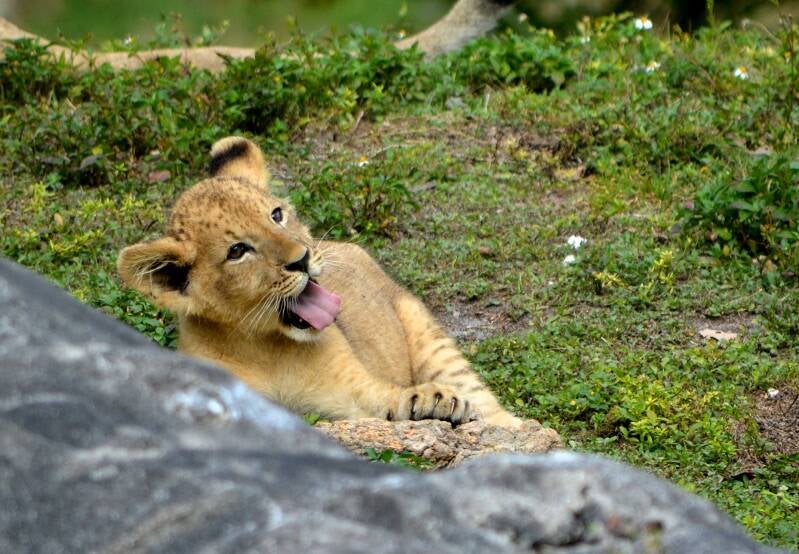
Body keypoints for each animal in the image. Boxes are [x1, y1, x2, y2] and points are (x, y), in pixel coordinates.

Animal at [117, 137, 522, 428]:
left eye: (276, 215)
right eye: (238, 251)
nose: (302, 258)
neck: (265, 348)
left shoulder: (352, 392)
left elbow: (389, 400)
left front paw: (436, 401)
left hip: (428, 334)